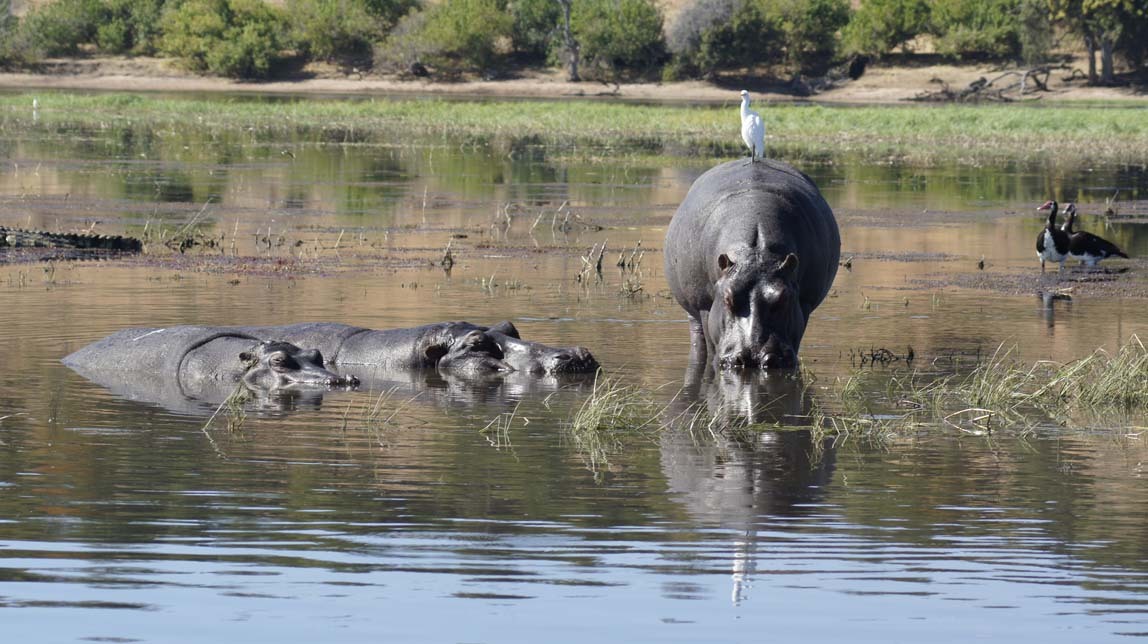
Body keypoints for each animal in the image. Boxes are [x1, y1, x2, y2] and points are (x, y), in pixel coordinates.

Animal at [665, 158, 844, 369]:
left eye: (783, 297)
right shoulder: (705, 307)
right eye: (727, 298)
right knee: (699, 339)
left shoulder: (804, 303)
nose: (754, 356)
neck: (757, 253)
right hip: (693, 312)